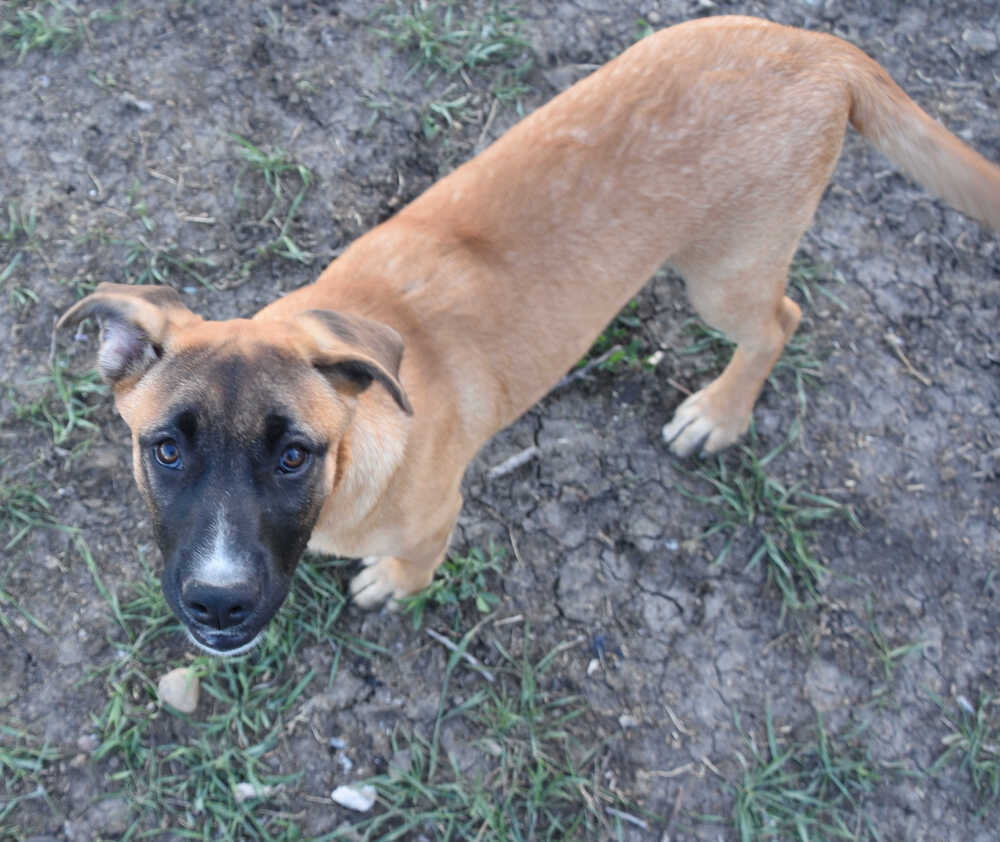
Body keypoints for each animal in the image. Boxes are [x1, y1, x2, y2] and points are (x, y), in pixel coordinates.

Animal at [60, 16, 1000, 652]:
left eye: (294, 455)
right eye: (164, 449)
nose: (218, 604)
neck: (360, 455)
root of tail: (821, 46)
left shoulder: (437, 513)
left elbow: (417, 563)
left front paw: (395, 585)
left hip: (726, 273)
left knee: (780, 321)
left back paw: (719, 414)